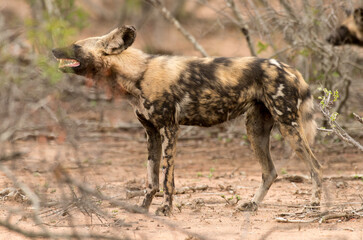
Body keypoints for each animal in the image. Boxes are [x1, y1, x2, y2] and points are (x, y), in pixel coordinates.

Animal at [52, 25, 322, 216]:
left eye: (76, 46)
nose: (53, 50)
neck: (137, 74)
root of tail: (291, 69)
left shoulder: (170, 129)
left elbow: (167, 178)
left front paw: (166, 209)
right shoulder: (151, 133)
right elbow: (151, 180)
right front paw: (143, 208)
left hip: (289, 127)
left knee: (315, 166)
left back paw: (315, 205)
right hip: (255, 131)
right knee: (270, 172)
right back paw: (253, 205)